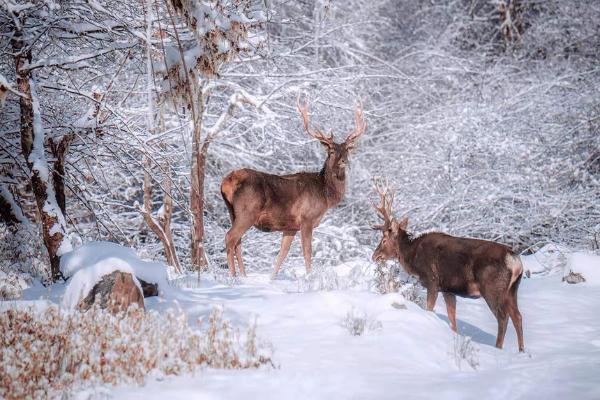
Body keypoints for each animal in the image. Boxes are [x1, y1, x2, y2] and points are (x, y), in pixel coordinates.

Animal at [220, 97, 366, 278]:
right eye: (331, 151)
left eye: (347, 150)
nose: (344, 161)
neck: (325, 194)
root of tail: (227, 182)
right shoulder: (307, 218)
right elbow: (307, 252)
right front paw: (309, 277)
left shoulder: (290, 226)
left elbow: (282, 254)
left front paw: (272, 278)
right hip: (248, 211)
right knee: (230, 237)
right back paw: (233, 276)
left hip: (232, 212)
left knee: (238, 241)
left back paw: (244, 275)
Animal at [370, 180, 524, 352]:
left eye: (384, 240)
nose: (375, 256)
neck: (413, 256)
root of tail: (515, 261)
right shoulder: (448, 289)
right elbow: (452, 319)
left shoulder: (432, 281)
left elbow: (429, 309)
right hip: (512, 290)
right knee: (517, 316)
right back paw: (522, 351)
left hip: (492, 288)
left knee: (503, 317)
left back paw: (498, 348)